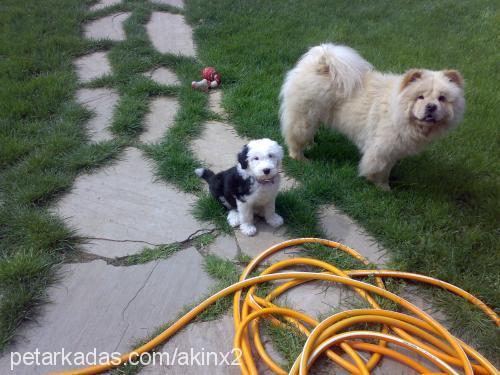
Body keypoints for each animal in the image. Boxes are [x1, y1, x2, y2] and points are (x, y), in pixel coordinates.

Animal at [280, 43, 466, 191]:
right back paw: (301, 158)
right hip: (304, 115)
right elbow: (380, 170)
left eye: (442, 98)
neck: (397, 109)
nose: (431, 106)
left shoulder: (394, 149)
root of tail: (321, 63)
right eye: (420, 97)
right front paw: (383, 188)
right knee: (295, 138)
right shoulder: (383, 148)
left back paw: (311, 144)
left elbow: (387, 167)